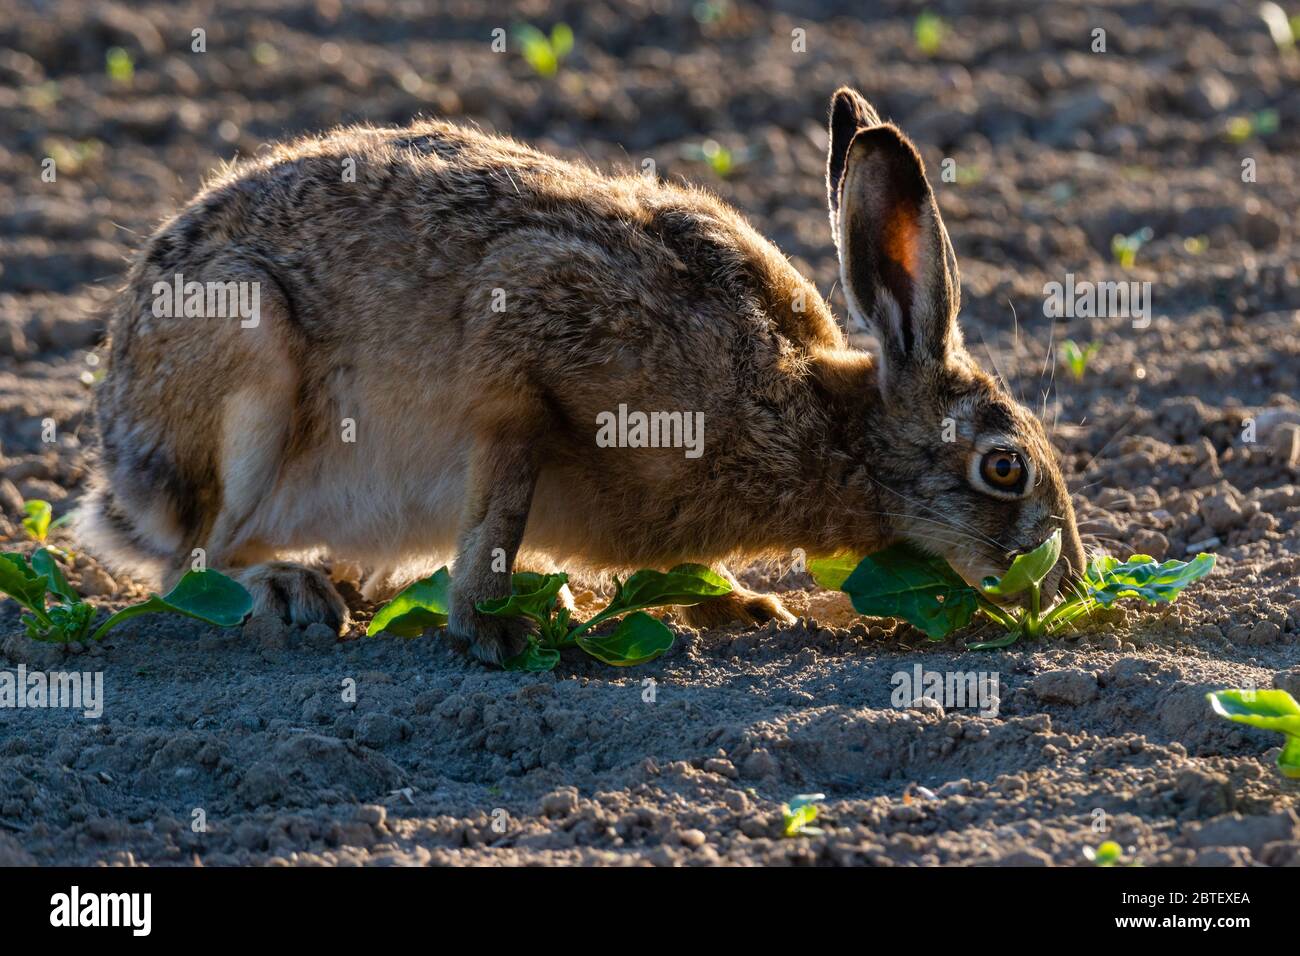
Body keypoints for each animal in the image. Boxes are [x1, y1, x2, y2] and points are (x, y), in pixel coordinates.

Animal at [81, 87, 1086, 665]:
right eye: (1004, 468)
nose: (1069, 585)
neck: (815, 411)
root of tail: (124, 471)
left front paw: (742, 606)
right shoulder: (525, 337)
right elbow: (500, 504)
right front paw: (489, 629)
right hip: (248, 355)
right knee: (193, 559)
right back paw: (291, 591)